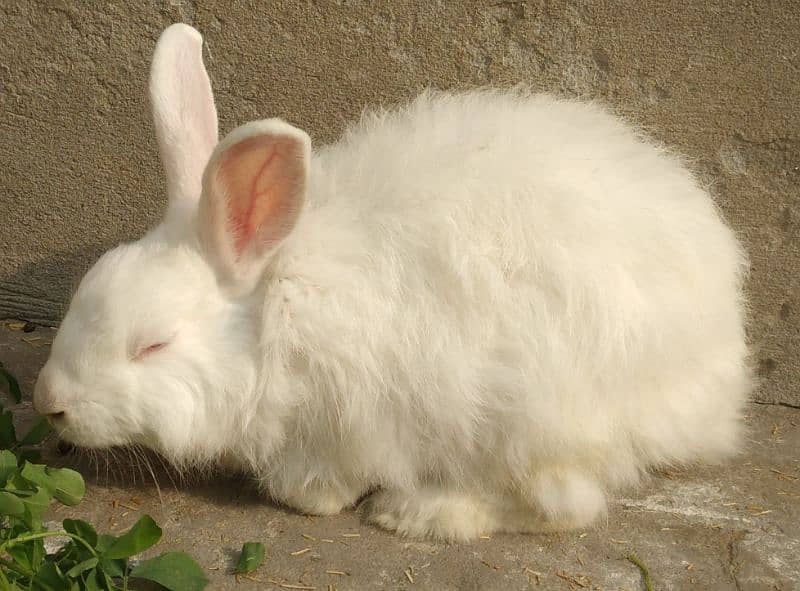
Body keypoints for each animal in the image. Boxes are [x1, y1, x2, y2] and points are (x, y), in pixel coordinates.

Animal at [34, 23, 752, 540]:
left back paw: (418, 512)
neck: (276, 306)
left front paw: (313, 498)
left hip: (536, 416)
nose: (50, 401)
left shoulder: (350, 419)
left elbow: (325, 475)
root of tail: (719, 375)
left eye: (152, 345)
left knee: (564, 507)